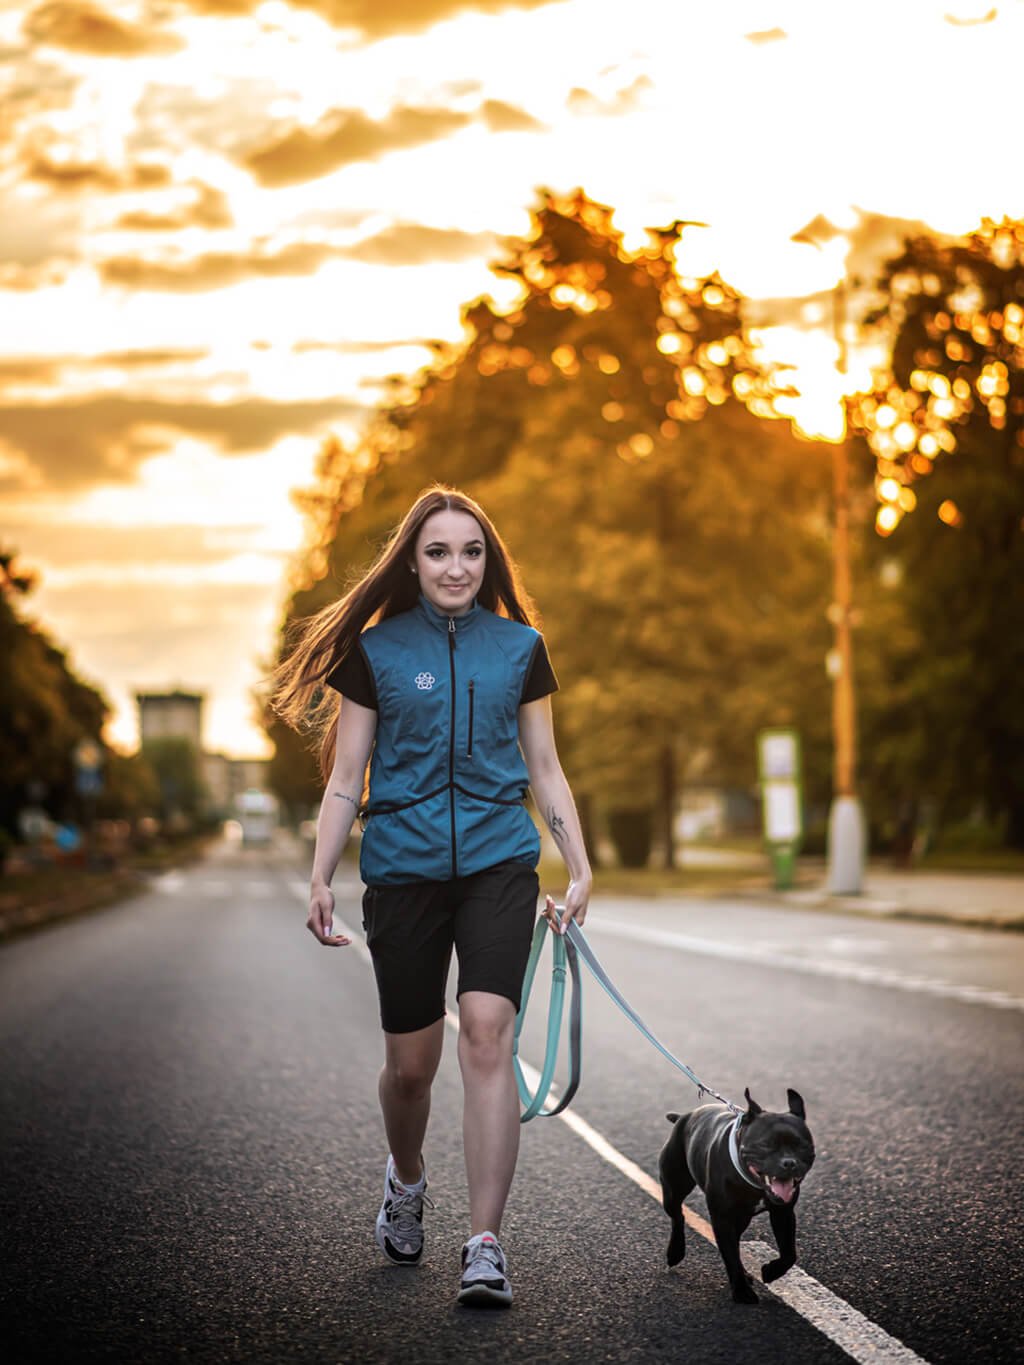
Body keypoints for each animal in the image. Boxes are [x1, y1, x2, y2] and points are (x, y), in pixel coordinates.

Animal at [658, 1086, 819, 1299]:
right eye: (765, 1144)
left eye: (802, 1145)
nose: (789, 1163)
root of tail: (684, 1117)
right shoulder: (722, 1218)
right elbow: (731, 1256)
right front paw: (743, 1293)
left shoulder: (783, 1213)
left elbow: (789, 1253)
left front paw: (771, 1272)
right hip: (673, 1190)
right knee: (678, 1216)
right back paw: (675, 1252)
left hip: (742, 1218)